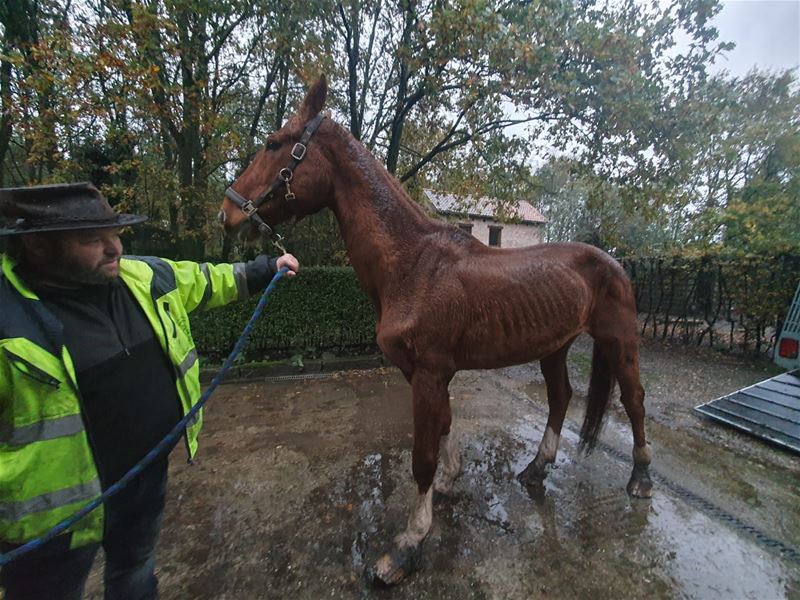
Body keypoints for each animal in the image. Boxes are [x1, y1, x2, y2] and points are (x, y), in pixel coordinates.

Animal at [219, 75, 652, 585]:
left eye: (274, 143)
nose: (227, 214)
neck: (413, 263)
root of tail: (614, 263)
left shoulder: (428, 373)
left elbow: (421, 457)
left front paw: (406, 546)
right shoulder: (422, 372)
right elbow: (444, 426)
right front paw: (450, 480)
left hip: (619, 342)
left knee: (634, 402)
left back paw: (640, 479)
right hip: (555, 347)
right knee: (561, 397)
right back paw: (536, 470)